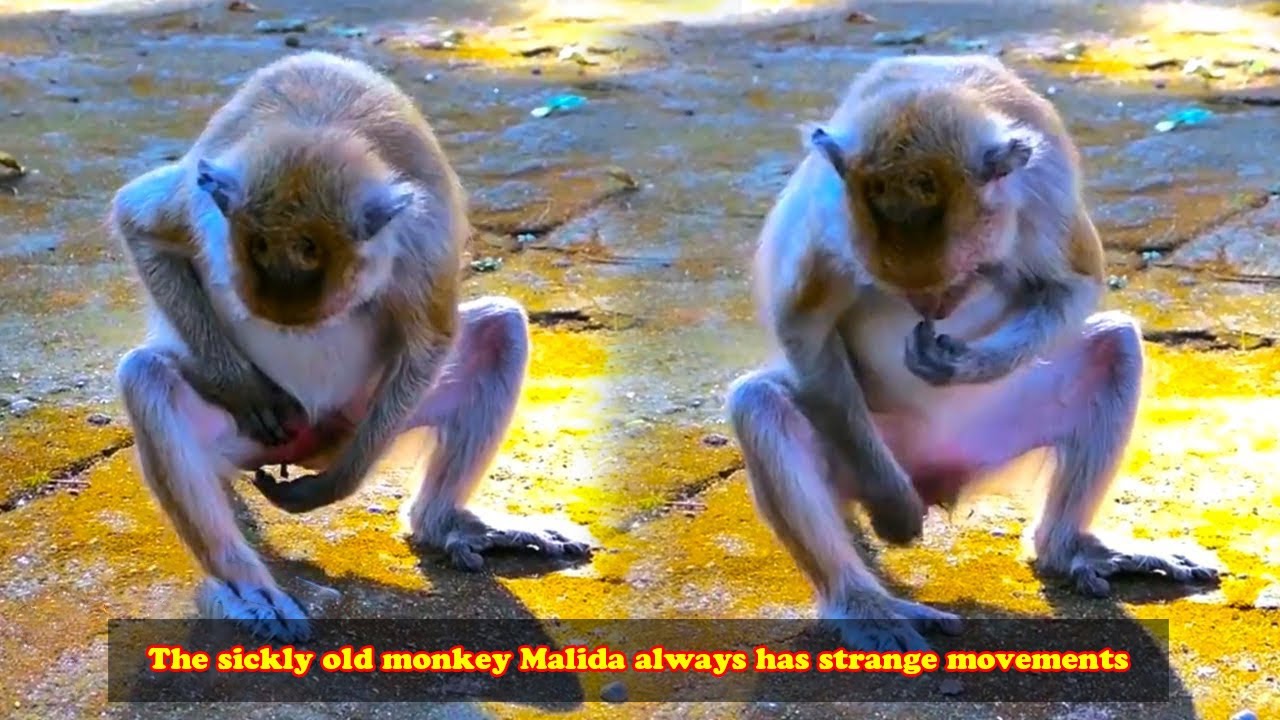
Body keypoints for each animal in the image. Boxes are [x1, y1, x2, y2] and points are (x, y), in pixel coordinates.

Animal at [111, 51, 591, 641]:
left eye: (308, 249)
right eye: (261, 245)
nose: (282, 285)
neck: (317, 129)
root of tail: (302, 443)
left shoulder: (423, 235)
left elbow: (431, 337)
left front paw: (334, 484)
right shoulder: (201, 203)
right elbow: (137, 223)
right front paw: (249, 393)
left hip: (358, 413)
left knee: (501, 330)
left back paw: (440, 521)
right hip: (240, 440)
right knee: (147, 376)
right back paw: (247, 587)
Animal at [725, 54, 1219, 653]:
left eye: (964, 278)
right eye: (895, 287)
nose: (931, 308)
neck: (927, 96)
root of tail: (935, 466)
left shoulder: (1046, 189)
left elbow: (1074, 285)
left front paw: (966, 363)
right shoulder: (827, 216)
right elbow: (803, 325)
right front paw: (892, 506)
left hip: (992, 428)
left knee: (1115, 346)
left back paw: (1068, 547)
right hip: (864, 444)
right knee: (759, 404)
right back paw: (865, 602)